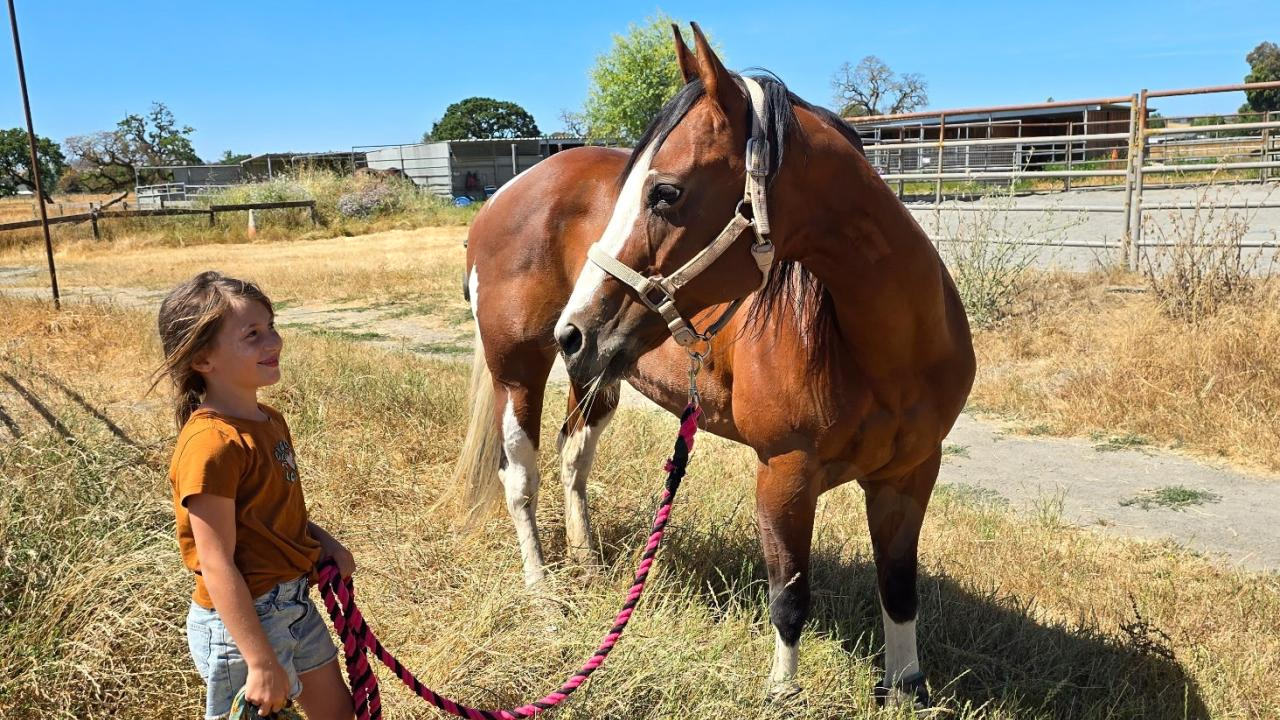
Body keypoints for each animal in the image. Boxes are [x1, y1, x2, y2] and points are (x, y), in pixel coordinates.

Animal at [457, 24, 975, 709]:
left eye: (665, 192)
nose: (573, 330)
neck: (883, 355)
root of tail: (500, 199)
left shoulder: (911, 474)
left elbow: (898, 588)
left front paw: (905, 689)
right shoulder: (784, 474)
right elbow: (789, 598)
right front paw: (782, 695)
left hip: (598, 374)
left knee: (573, 456)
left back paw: (588, 563)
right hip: (519, 371)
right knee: (521, 476)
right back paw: (543, 595)